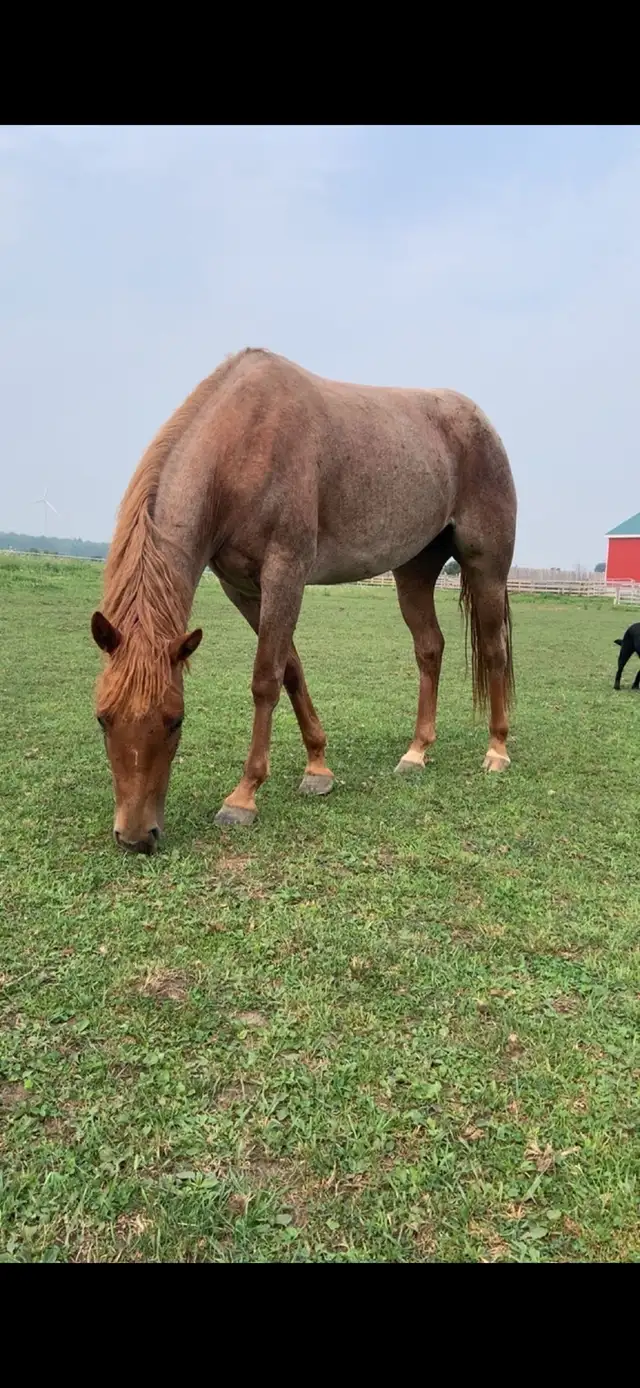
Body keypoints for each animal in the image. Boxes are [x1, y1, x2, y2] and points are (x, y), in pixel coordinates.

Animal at [90, 348, 517, 852]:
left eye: (176, 719)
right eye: (103, 719)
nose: (137, 836)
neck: (241, 447)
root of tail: (480, 421)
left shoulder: (285, 573)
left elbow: (266, 678)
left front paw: (244, 796)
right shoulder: (243, 587)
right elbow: (291, 668)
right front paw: (318, 766)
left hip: (486, 567)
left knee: (494, 650)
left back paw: (497, 750)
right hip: (414, 570)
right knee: (430, 648)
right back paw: (416, 752)